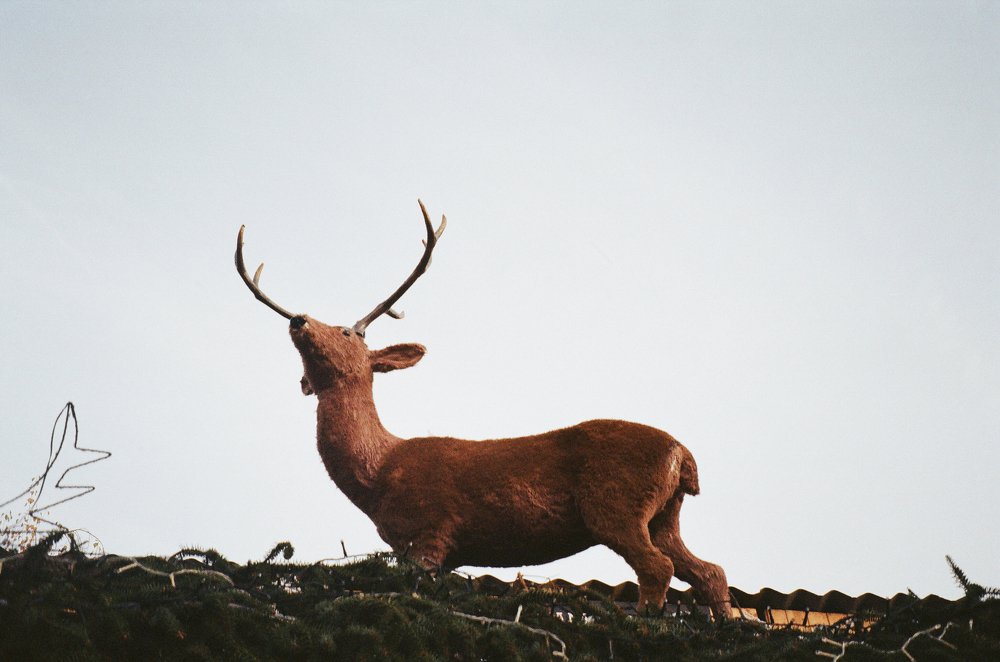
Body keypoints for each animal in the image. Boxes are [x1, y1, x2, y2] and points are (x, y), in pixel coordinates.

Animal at [235, 200, 731, 618]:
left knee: (658, 567)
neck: (379, 473)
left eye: (346, 332)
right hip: (665, 513)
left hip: (616, 504)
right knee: (709, 570)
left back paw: (645, 620)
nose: (298, 319)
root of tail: (682, 454)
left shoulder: (429, 531)